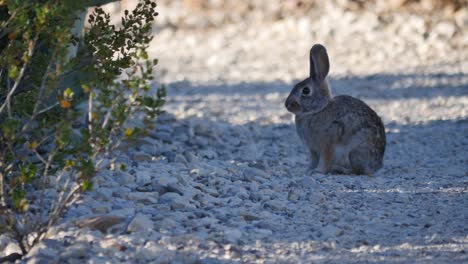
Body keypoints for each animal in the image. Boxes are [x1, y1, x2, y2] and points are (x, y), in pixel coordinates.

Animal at [284, 43, 386, 175]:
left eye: (306, 90)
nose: (287, 105)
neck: (318, 109)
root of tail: (377, 165)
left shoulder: (328, 144)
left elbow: (326, 159)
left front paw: (318, 171)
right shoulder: (313, 150)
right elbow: (313, 160)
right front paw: (307, 170)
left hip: (355, 151)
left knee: (356, 170)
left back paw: (339, 169)